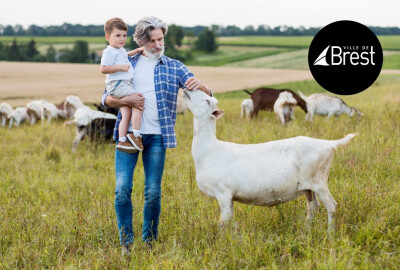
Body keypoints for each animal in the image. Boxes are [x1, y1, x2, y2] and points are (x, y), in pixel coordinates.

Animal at [181, 89, 356, 232]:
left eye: (207, 101)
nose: (187, 90)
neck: (210, 150)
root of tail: (327, 144)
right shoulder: (229, 196)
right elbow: (231, 220)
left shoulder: (223, 192)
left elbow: (223, 222)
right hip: (309, 187)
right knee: (313, 207)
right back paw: (306, 230)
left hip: (319, 180)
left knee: (331, 206)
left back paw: (329, 234)